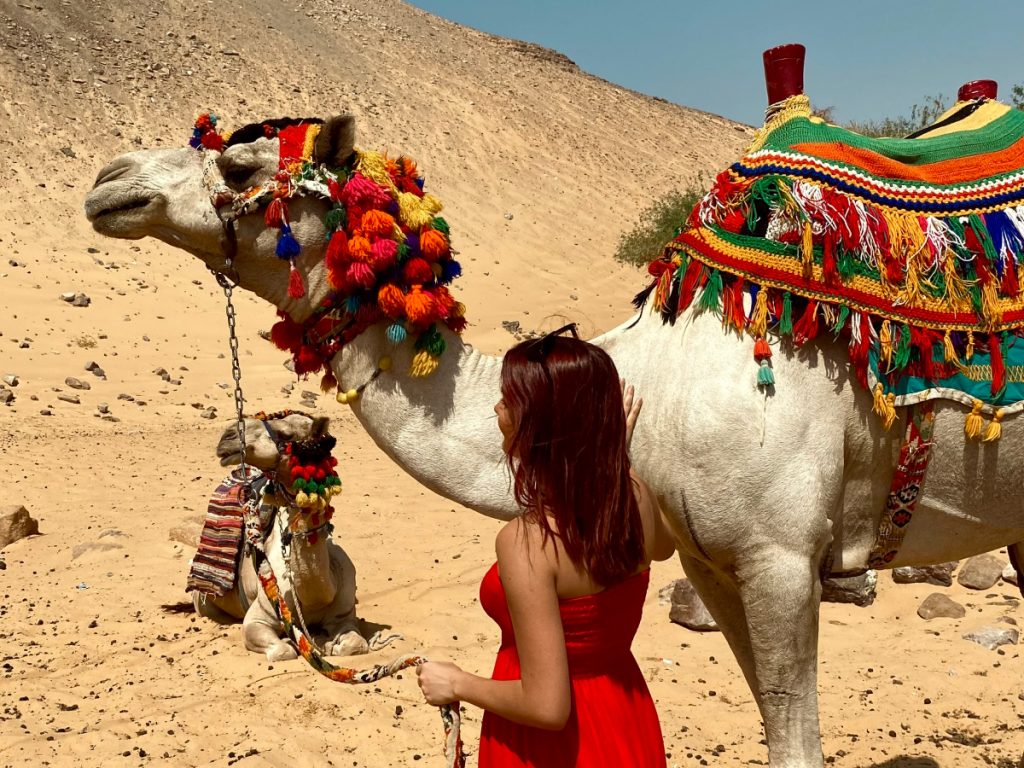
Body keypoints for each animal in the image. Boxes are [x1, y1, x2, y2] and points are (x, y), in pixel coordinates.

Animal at [193, 415, 370, 663]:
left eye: (287, 434)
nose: (228, 436)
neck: (314, 598)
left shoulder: (344, 616)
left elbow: (356, 646)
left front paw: (330, 644)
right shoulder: (258, 617)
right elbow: (282, 652)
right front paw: (290, 642)